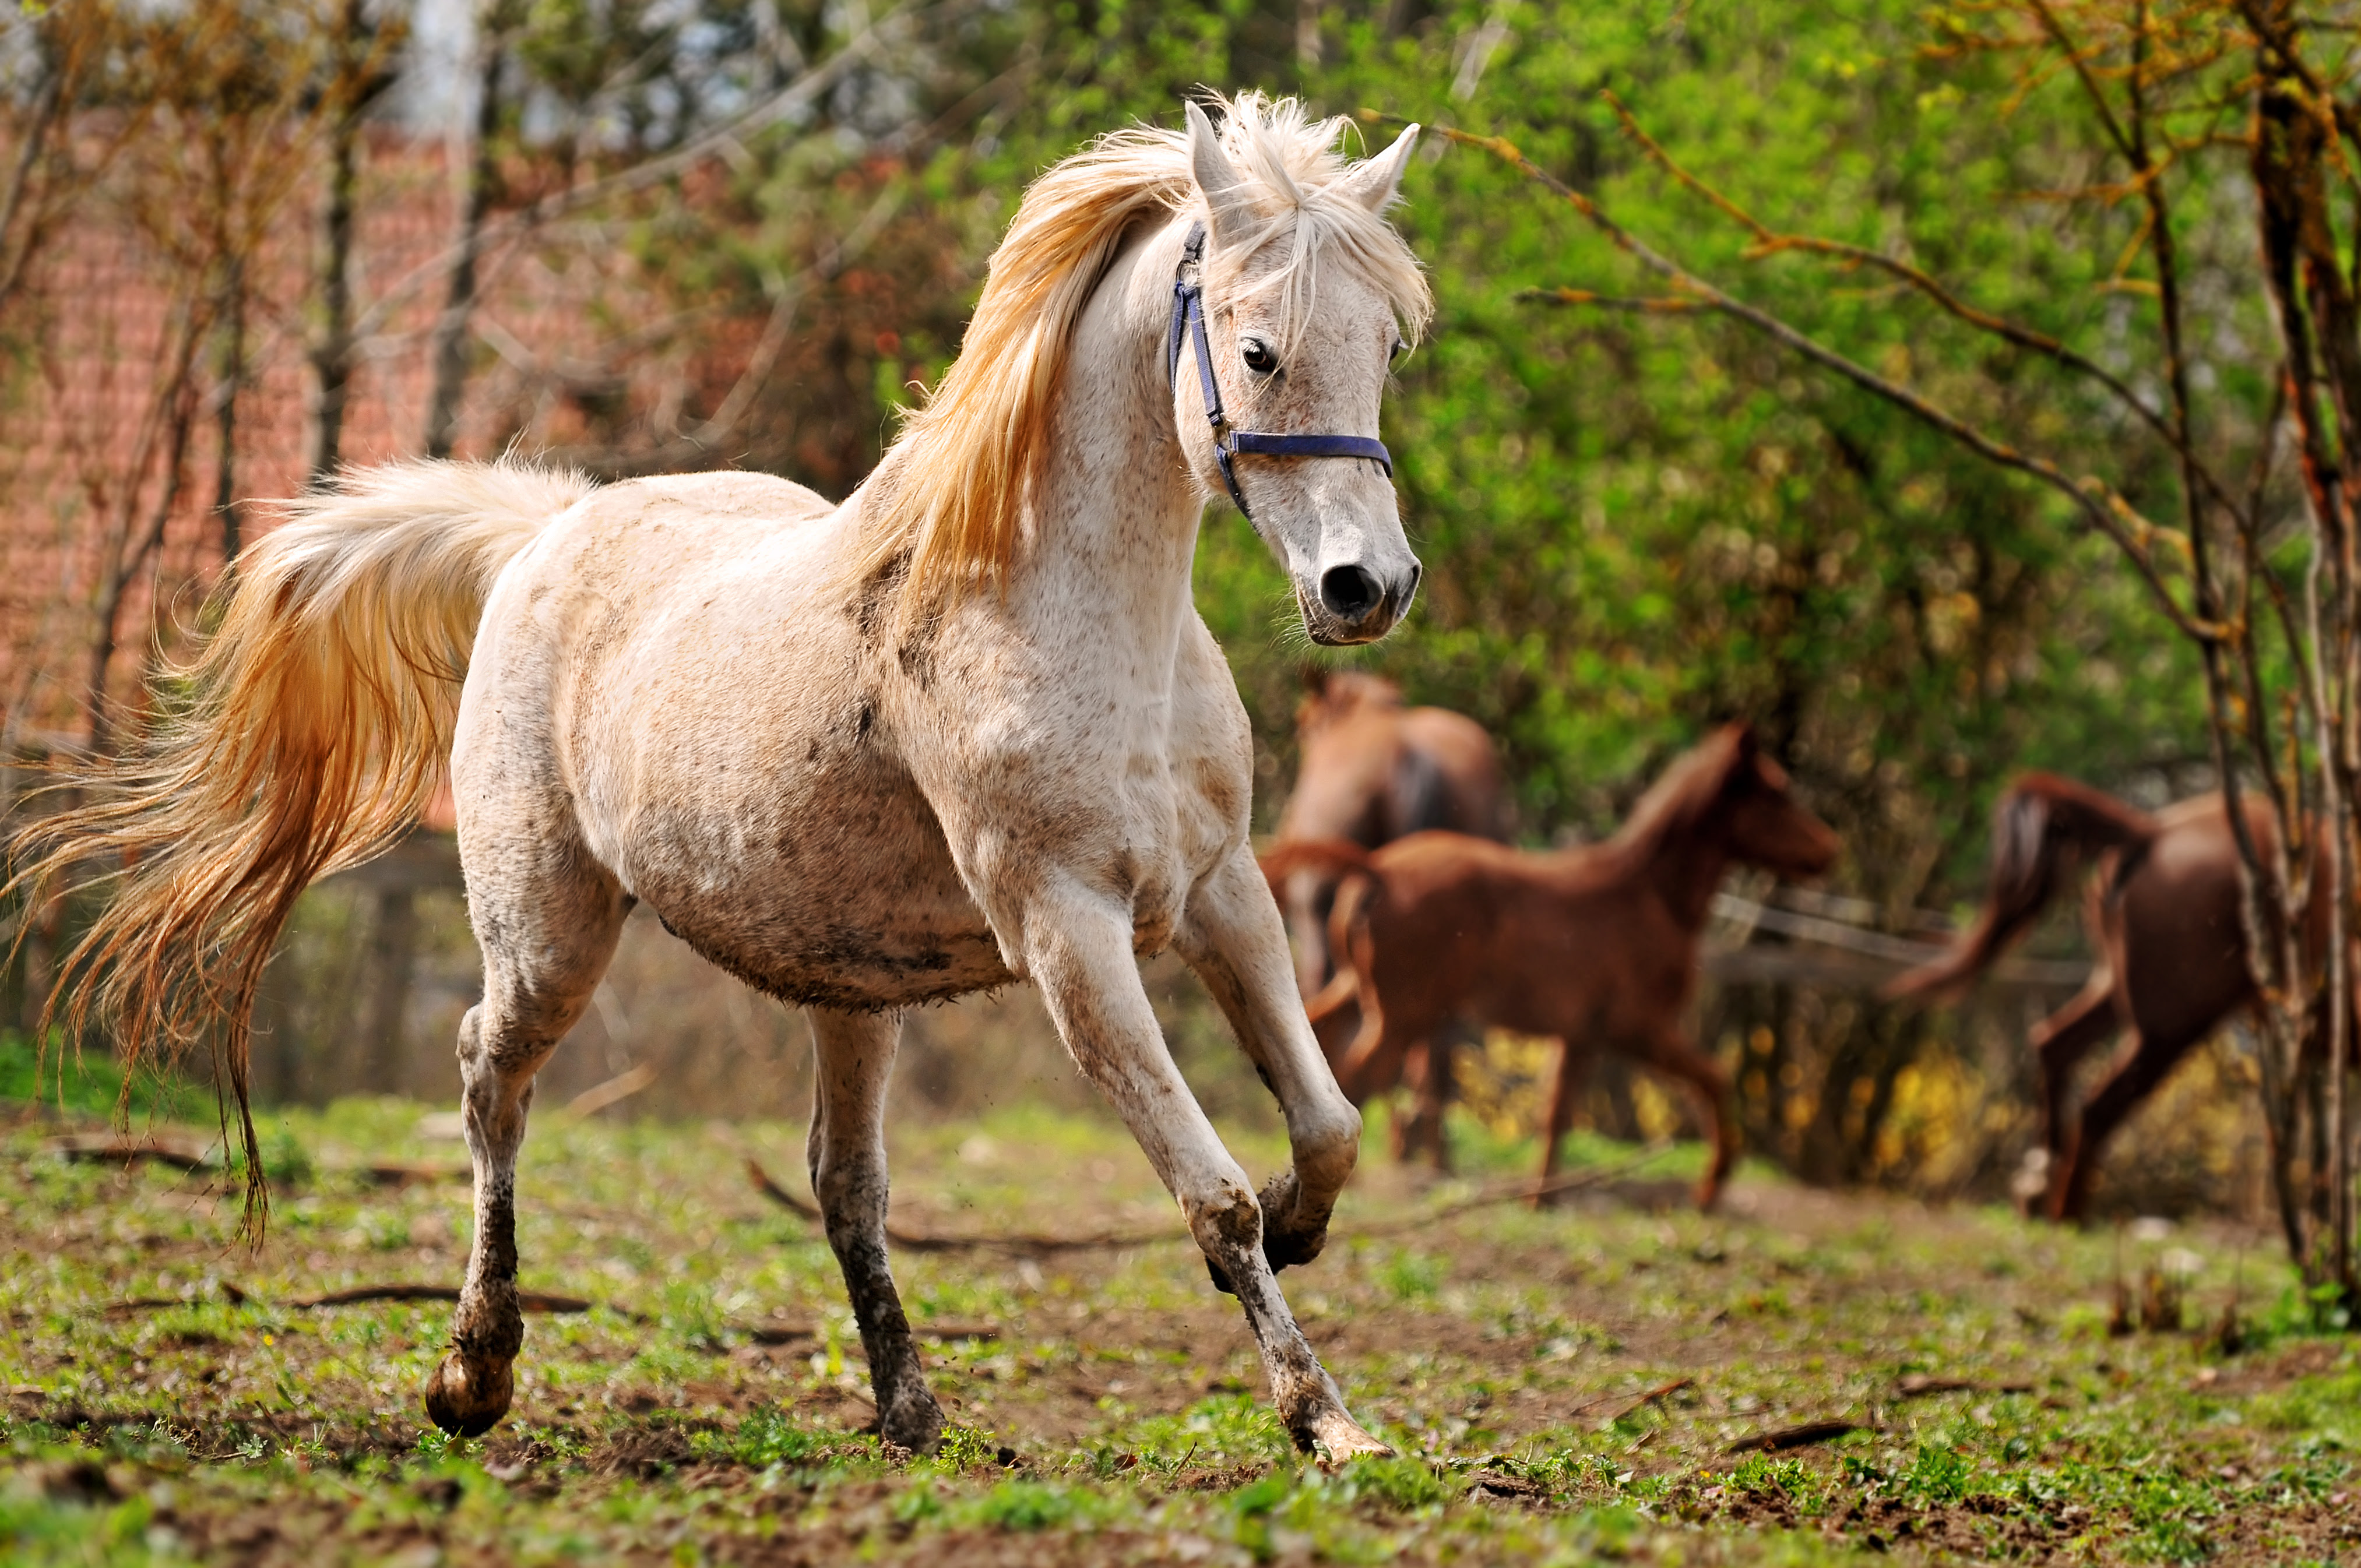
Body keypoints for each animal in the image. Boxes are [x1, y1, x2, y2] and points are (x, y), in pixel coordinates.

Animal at [13, 92, 1416, 1464]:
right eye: (1258, 351)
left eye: (1386, 347)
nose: (1367, 588)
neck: (1066, 617)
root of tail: (547, 533)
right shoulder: (1070, 930)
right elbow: (1212, 1192)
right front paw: (1327, 1417)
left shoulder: (1222, 892)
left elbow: (1329, 1125)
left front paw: (1301, 1231)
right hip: (550, 938)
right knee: (487, 1079)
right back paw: (474, 1372)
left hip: (852, 990)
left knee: (842, 1181)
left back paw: (909, 1411)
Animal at [1265, 727, 1832, 1199]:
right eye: (1776, 793)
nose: (1829, 850)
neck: (1648, 897)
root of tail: (1375, 868)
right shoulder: (1640, 1028)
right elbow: (1714, 1078)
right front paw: (1711, 1187)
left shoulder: (1580, 1036)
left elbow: (1556, 1113)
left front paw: (1541, 1196)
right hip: (1405, 1014)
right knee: (1359, 1076)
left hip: (1360, 991)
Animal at [1879, 779, 2323, 1218]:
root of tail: (2150, 833)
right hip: (2171, 1021)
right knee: (2099, 1106)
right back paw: (2066, 1212)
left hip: (2120, 990)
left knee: (2054, 1045)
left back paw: (2038, 1183)